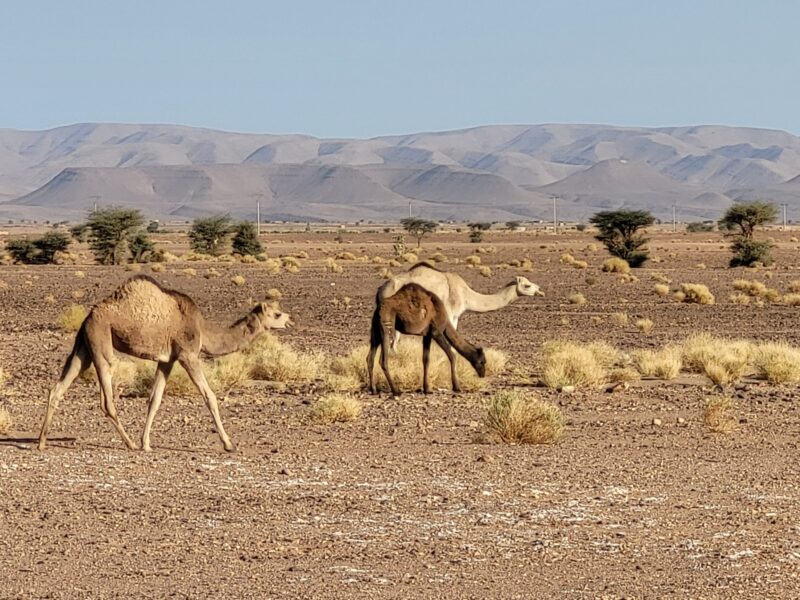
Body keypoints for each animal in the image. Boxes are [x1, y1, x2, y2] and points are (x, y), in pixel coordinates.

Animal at [36, 274, 290, 452]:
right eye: (277, 314)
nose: (290, 320)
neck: (202, 329)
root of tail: (88, 316)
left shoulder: (167, 360)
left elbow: (154, 399)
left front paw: (147, 443)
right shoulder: (188, 354)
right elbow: (209, 396)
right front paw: (229, 445)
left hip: (84, 347)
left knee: (58, 388)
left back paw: (41, 442)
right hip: (101, 340)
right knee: (106, 399)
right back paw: (129, 444)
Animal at [380, 264, 544, 346]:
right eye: (527, 285)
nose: (540, 291)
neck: (466, 295)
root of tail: (383, 289)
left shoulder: (454, 316)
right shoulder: (449, 314)